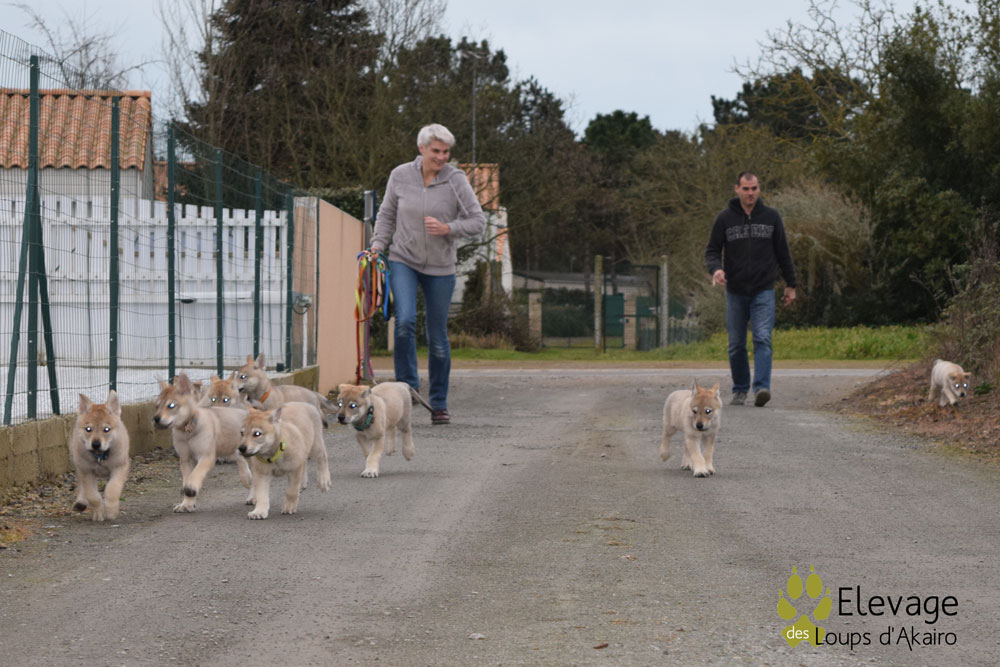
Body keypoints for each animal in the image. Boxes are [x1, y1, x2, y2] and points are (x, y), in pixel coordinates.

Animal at [70, 390, 131, 521]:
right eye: (88, 429)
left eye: (106, 429)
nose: (96, 444)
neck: (100, 457)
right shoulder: (86, 471)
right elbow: (92, 495)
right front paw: (98, 512)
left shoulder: (119, 467)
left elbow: (112, 489)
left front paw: (111, 510)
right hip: (79, 465)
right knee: (82, 486)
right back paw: (81, 502)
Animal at [153, 372, 253, 511]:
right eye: (157, 406)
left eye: (171, 406)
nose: (155, 419)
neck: (187, 430)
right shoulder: (185, 459)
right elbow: (187, 478)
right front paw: (186, 504)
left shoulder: (206, 457)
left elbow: (195, 475)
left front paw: (191, 489)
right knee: (243, 467)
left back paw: (253, 497)